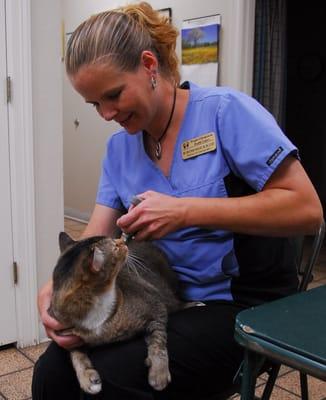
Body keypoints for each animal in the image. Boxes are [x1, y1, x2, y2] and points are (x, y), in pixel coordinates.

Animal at [48, 231, 186, 394]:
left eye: (115, 241)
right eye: (115, 247)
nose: (122, 241)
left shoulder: (155, 307)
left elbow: (158, 340)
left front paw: (159, 374)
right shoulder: (70, 335)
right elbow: (76, 354)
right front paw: (88, 378)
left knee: (176, 302)